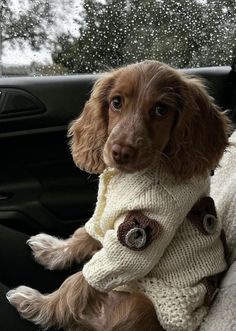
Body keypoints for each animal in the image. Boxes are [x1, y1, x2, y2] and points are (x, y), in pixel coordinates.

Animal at [7, 60, 230, 331]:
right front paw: (53, 251)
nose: (121, 152)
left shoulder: (138, 237)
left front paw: (39, 305)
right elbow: (83, 236)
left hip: (138, 304)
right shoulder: (104, 218)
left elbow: (78, 283)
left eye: (161, 109)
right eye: (116, 102)